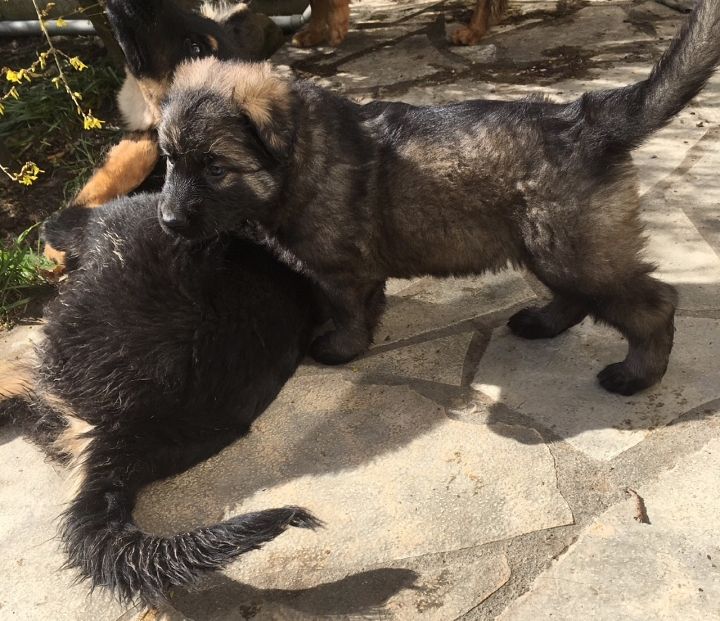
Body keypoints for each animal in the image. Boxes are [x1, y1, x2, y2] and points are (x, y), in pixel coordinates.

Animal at [155, 0, 720, 396]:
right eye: (168, 159)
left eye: (216, 168)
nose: (166, 220)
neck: (301, 154)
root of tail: (588, 118)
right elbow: (365, 306)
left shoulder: (341, 272)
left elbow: (347, 311)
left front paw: (340, 349)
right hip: (548, 246)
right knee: (577, 296)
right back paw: (542, 323)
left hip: (575, 246)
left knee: (653, 305)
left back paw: (636, 375)